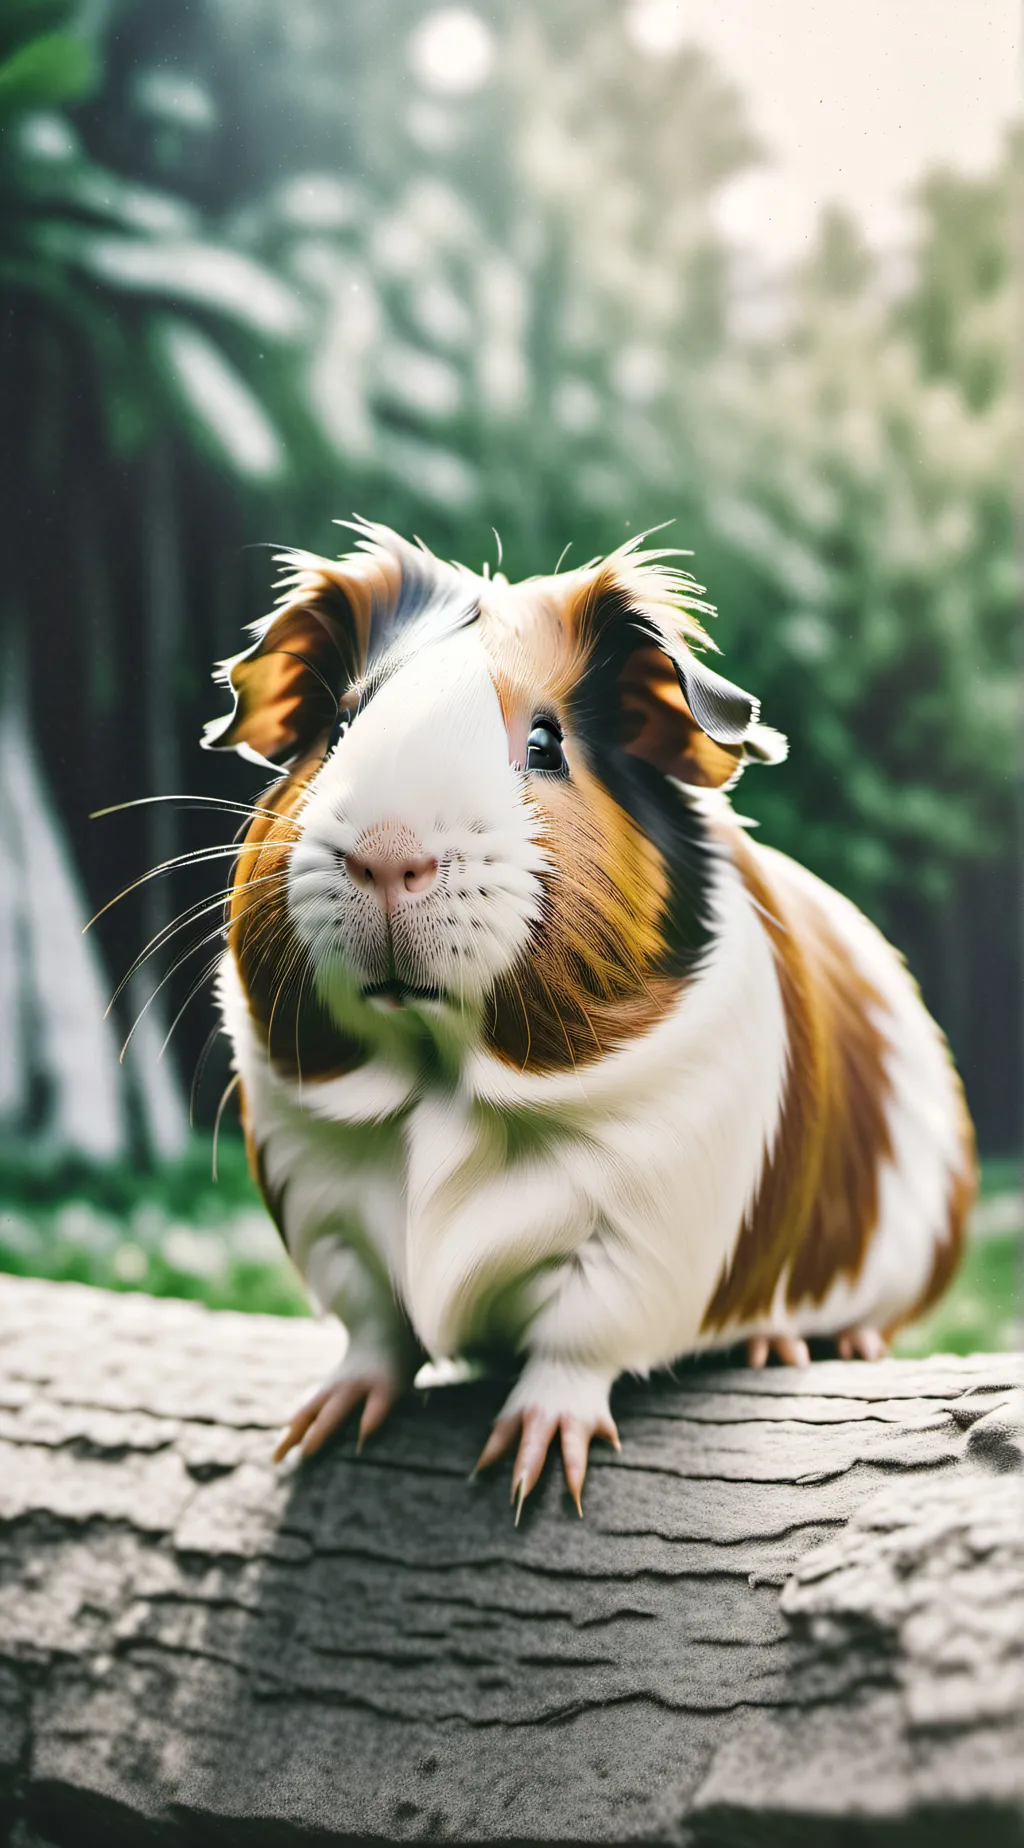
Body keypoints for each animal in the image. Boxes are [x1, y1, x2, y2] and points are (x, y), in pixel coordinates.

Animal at [204, 518, 975, 1517]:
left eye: (544, 742)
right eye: (337, 728)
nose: (386, 855)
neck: (441, 1084)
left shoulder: (639, 1240)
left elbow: (575, 1351)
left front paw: (530, 1471)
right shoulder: (331, 1221)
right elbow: (374, 1336)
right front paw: (317, 1431)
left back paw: (791, 1345)